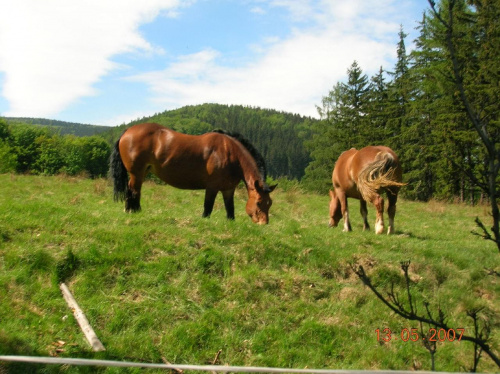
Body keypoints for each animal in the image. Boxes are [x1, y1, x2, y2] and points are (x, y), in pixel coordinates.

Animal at [110, 122, 280, 224]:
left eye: (269, 203)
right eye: (258, 203)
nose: (264, 223)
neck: (230, 153)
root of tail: (127, 131)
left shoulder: (228, 189)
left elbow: (230, 209)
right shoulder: (212, 187)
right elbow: (208, 207)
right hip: (136, 173)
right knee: (133, 191)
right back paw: (133, 211)